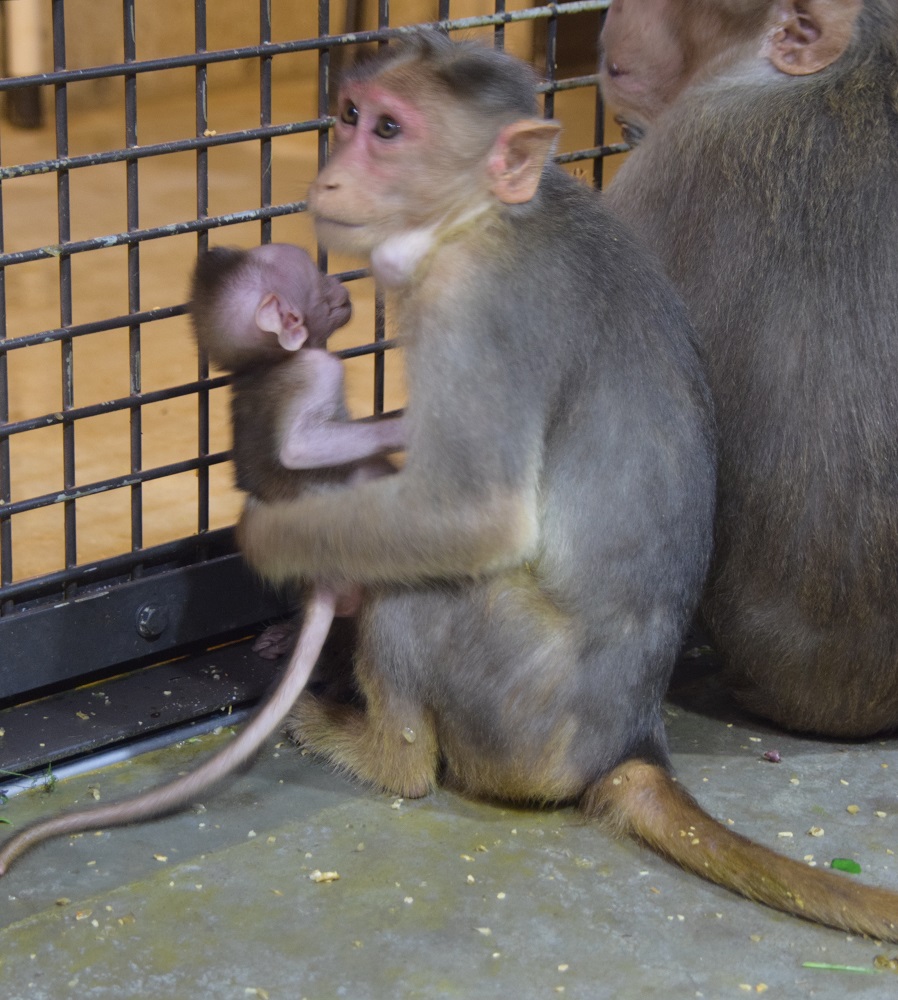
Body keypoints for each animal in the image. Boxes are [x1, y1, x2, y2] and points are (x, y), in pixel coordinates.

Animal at [0, 242, 402, 876]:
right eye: (317, 284)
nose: (342, 286)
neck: (266, 365)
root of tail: (324, 576)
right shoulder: (316, 372)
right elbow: (302, 448)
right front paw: (399, 426)